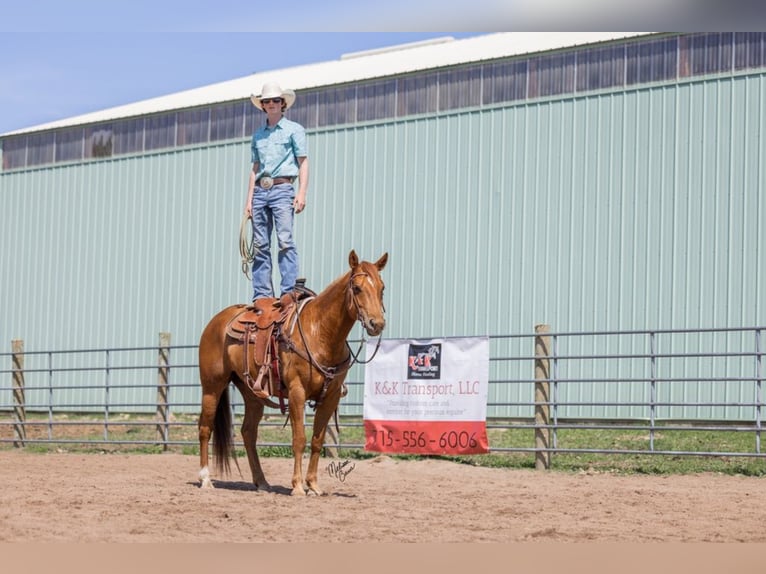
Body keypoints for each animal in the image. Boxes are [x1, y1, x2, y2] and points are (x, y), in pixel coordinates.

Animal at [198, 250, 390, 498]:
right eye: (356, 288)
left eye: (381, 288)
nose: (377, 324)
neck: (320, 332)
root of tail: (217, 322)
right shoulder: (297, 392)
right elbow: (299, 438)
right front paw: (298, 486)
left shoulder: (331, 396)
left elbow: (317, 440)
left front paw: (314, 485)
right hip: (212, 386)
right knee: (205, 428)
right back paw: (205, 479)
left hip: (252, 394)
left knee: (249, 432)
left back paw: (262, 482)